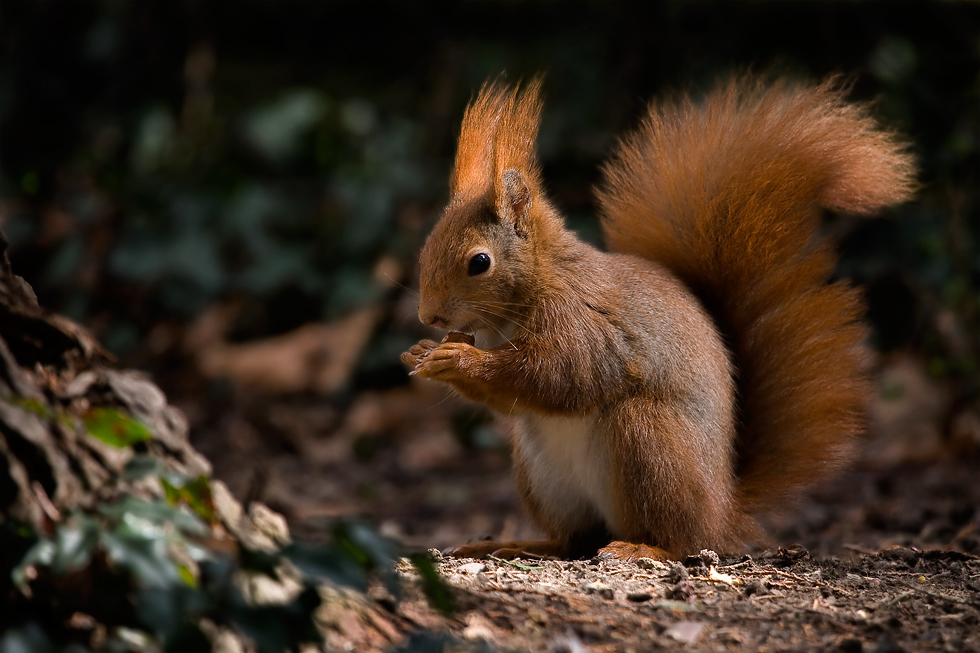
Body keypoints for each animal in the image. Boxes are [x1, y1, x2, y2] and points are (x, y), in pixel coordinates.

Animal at [398, 74, 912, 556]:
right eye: (425, 247)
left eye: (479, 262)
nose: (429, 318)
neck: (537, 283)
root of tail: (722, 509)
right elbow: (515, 399)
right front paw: (421, 353)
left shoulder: (582, 320)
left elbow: (562, 375)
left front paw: (458, 359)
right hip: (543, 474)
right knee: (574, 540)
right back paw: (517, 545)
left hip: (647, 438)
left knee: (675, 539)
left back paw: (642, 548)